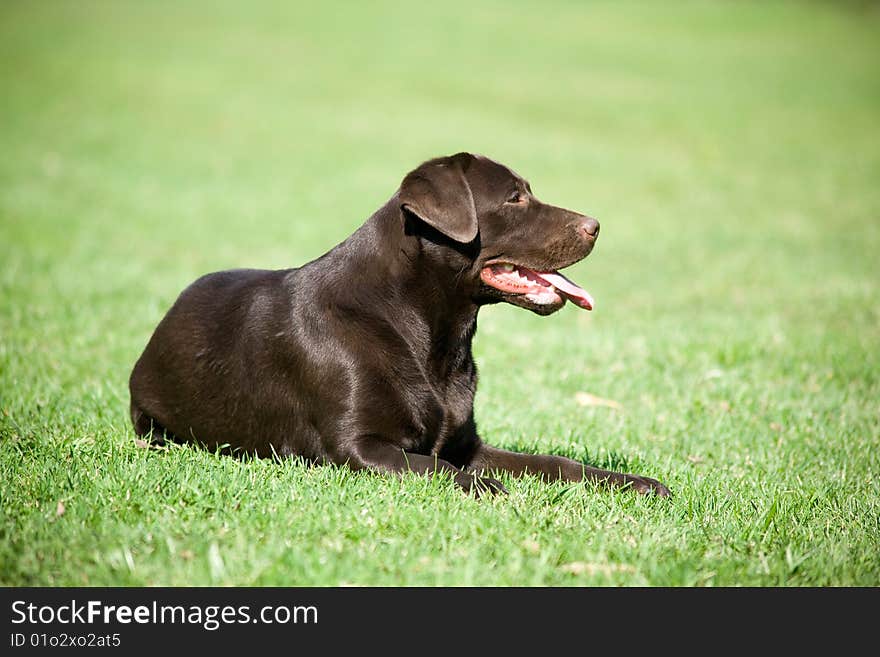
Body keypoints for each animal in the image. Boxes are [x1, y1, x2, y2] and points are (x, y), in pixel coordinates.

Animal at [127, 151, 672, 494]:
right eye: (514, 198)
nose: (595, 226)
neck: (433, 337)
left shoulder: (468, 444)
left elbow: (552, 463)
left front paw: (636, 483)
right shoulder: (359, 448)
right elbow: (441, 469)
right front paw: (492, 489)